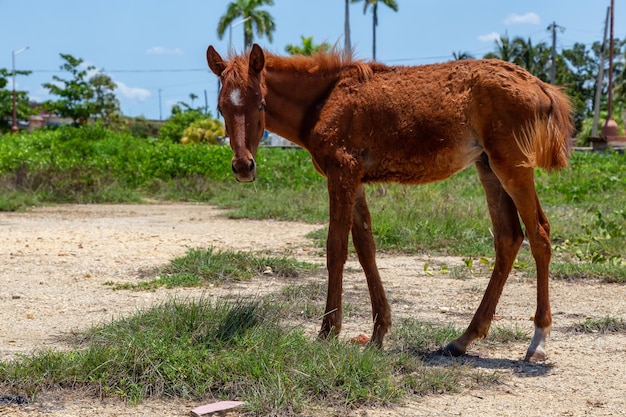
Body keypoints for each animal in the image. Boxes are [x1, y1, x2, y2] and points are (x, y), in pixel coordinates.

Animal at [207, 43, 572, 360]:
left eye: (260, 104)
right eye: (221, 108)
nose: (243, 166)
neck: (324, 100)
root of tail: (539, 85)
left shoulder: (341, 173)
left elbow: (336, 249)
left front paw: (328, 331)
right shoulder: (355, 181)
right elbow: (365, 248)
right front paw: (378, 333)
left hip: (514, 165)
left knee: (539, 233)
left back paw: (538, 340)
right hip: (488, 167)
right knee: (508, 237)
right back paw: (463, 339)